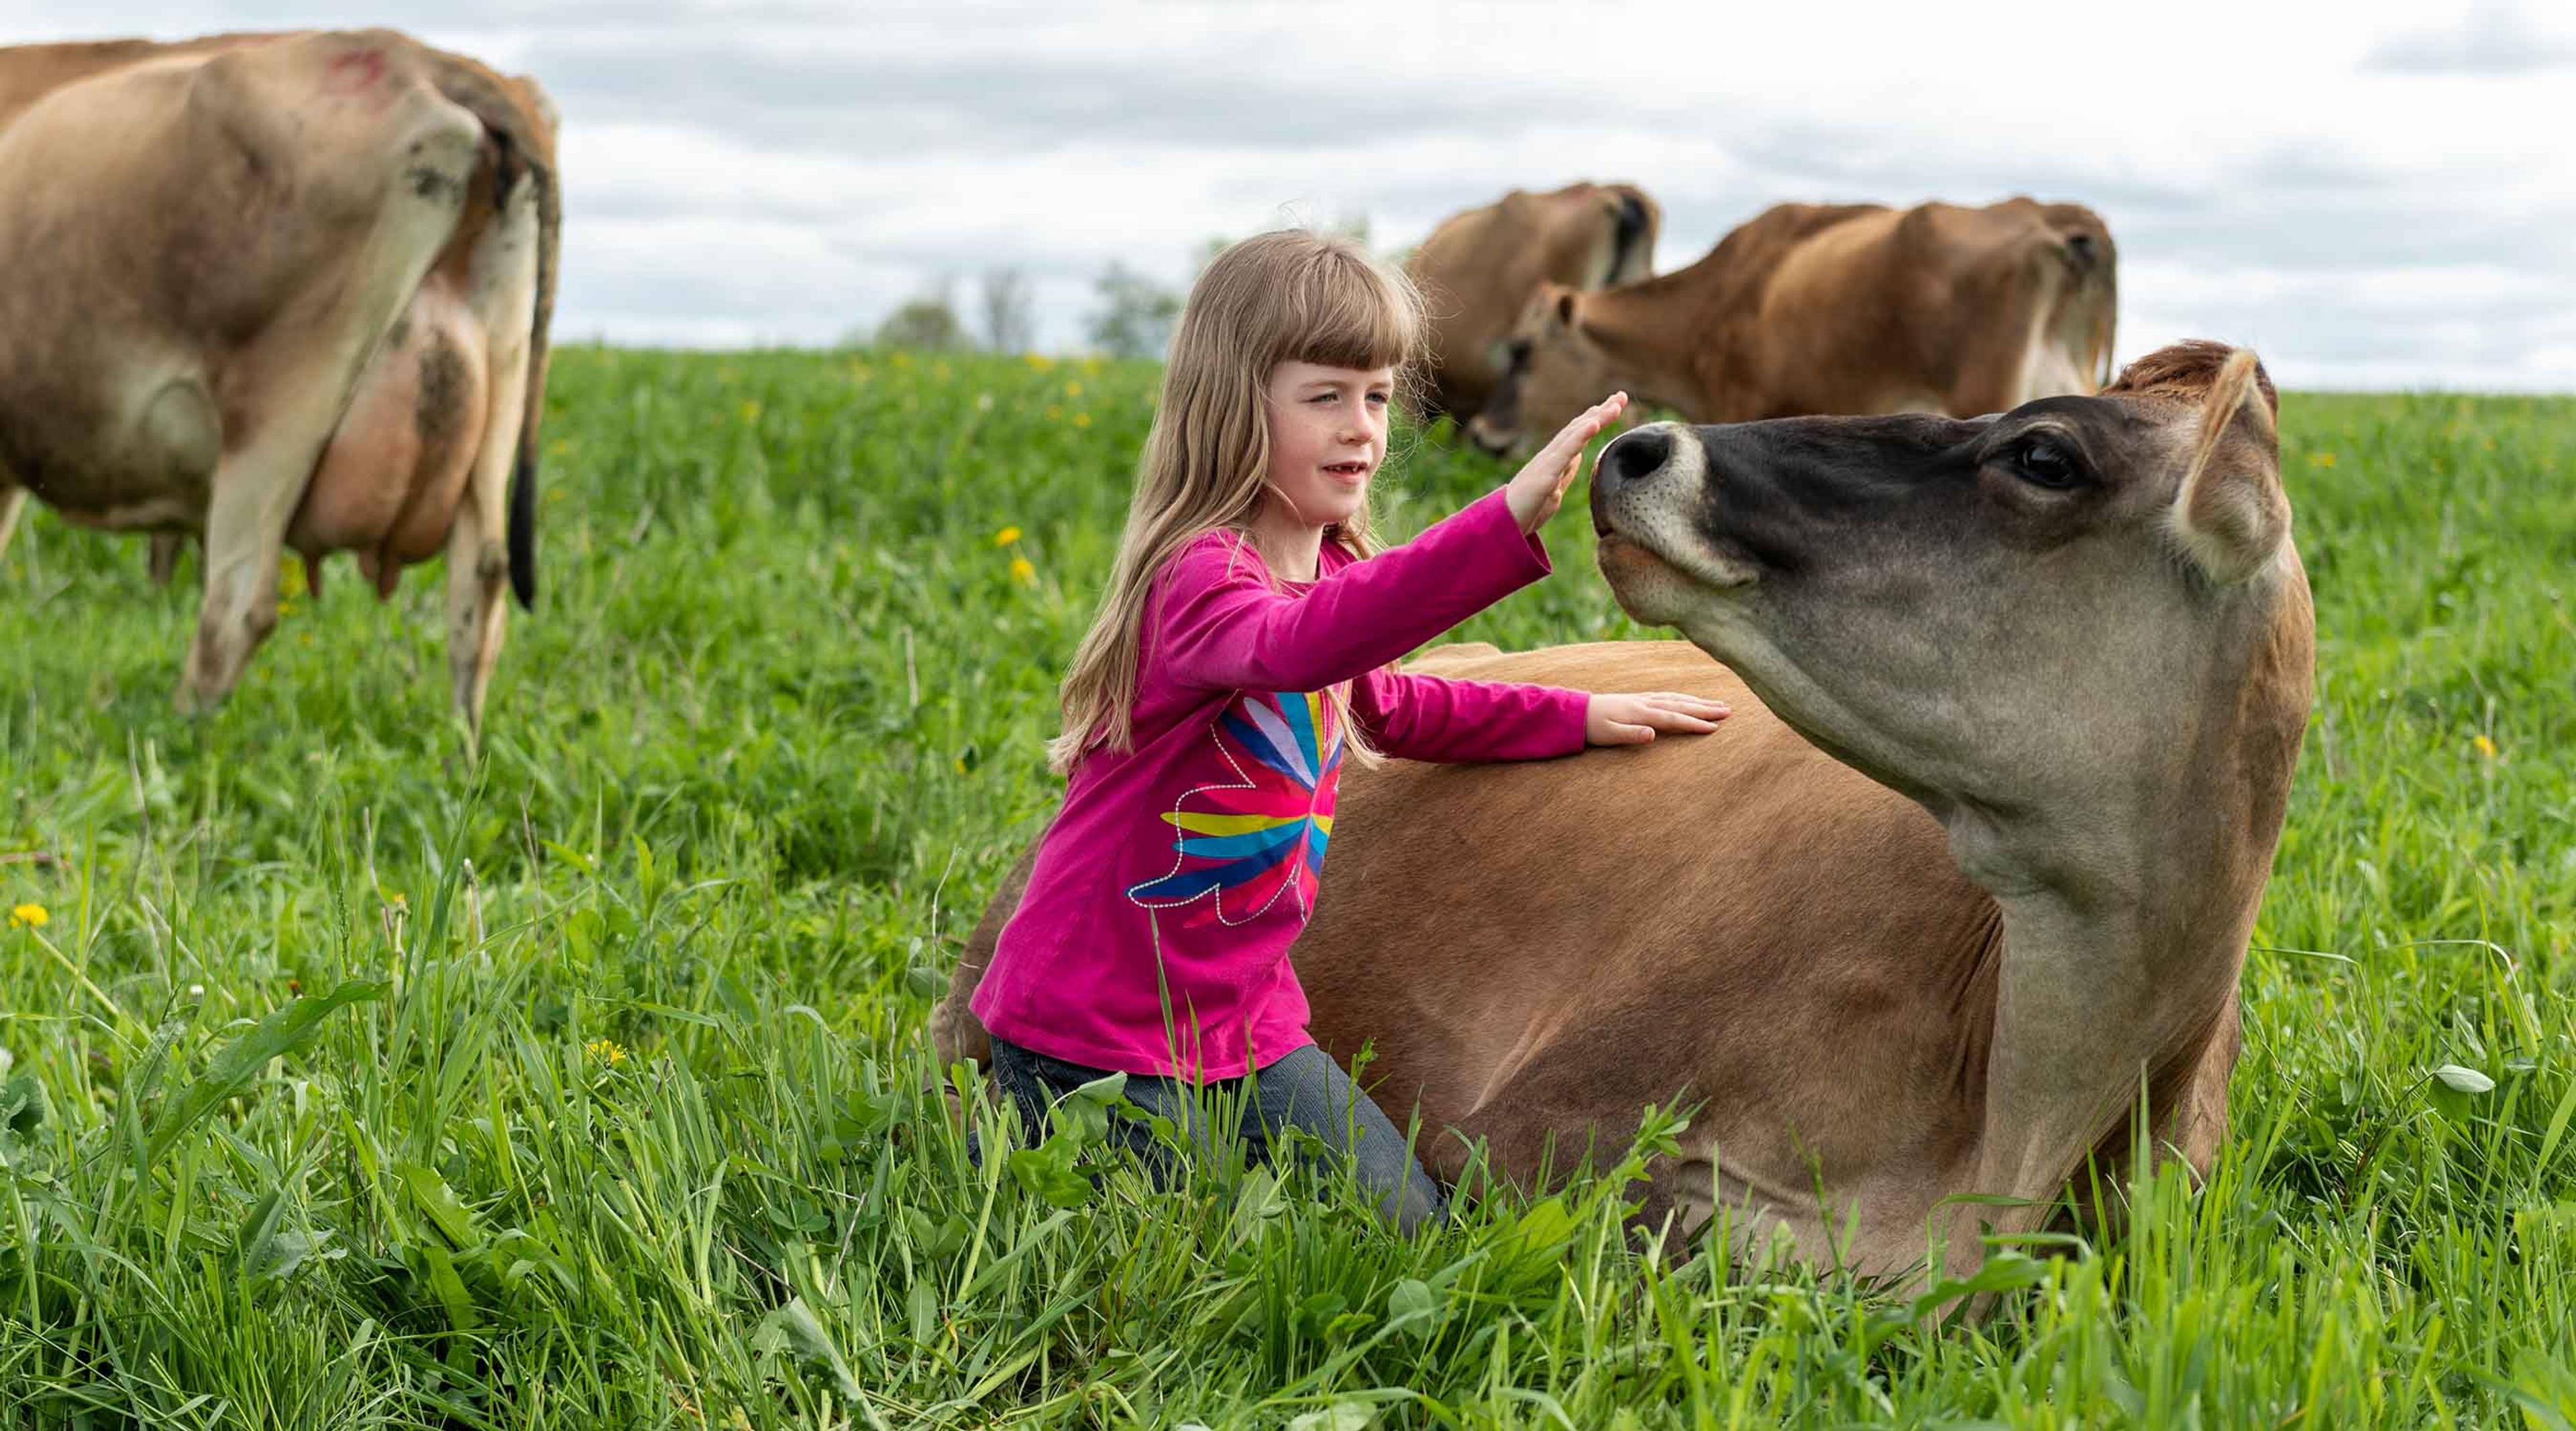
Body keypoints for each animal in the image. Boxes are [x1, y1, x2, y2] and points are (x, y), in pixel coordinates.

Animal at [0, 32, 564, 737]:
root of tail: (422, 58)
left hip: (277, 408)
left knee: (238, 601)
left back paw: (178, 738)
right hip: (498, 374)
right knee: (480, 588)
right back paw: (463, 752)